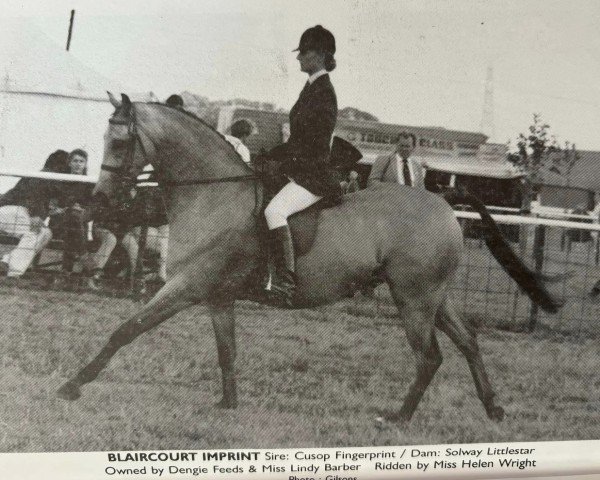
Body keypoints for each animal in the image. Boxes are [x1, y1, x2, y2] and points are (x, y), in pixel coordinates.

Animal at [57, 94, 564, 424]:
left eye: (118, 142)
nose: (100, 201)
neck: (213, 195)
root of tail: (441, 199)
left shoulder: (186, 286)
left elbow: (128, 329)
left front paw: (73, 385)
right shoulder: (218, 296)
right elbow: (227, 351)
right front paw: (228, 405)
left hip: (414, 298)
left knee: (429, 357)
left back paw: (397, 418)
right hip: (434, 296)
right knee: (468, 342)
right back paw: (493, 408)